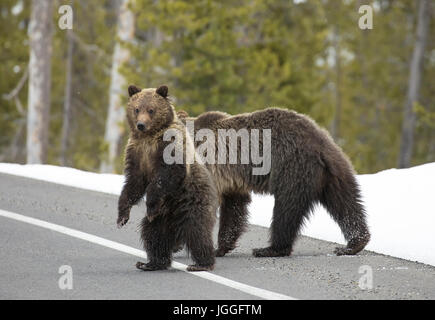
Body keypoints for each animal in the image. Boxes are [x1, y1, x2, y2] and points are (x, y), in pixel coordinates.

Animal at [117, 84, 218, 270]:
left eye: (151, 109)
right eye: (137, 109)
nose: (141, 125)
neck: (149, 137)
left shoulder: (170, 146)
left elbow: (166, 175)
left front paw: (150, 203)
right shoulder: (137, 153)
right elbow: (134, 183)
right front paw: (122, 217)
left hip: (193, 201)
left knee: (197, 232)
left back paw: (202, 263)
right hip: (163, 217)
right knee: (153, 234)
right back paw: (151, 263)